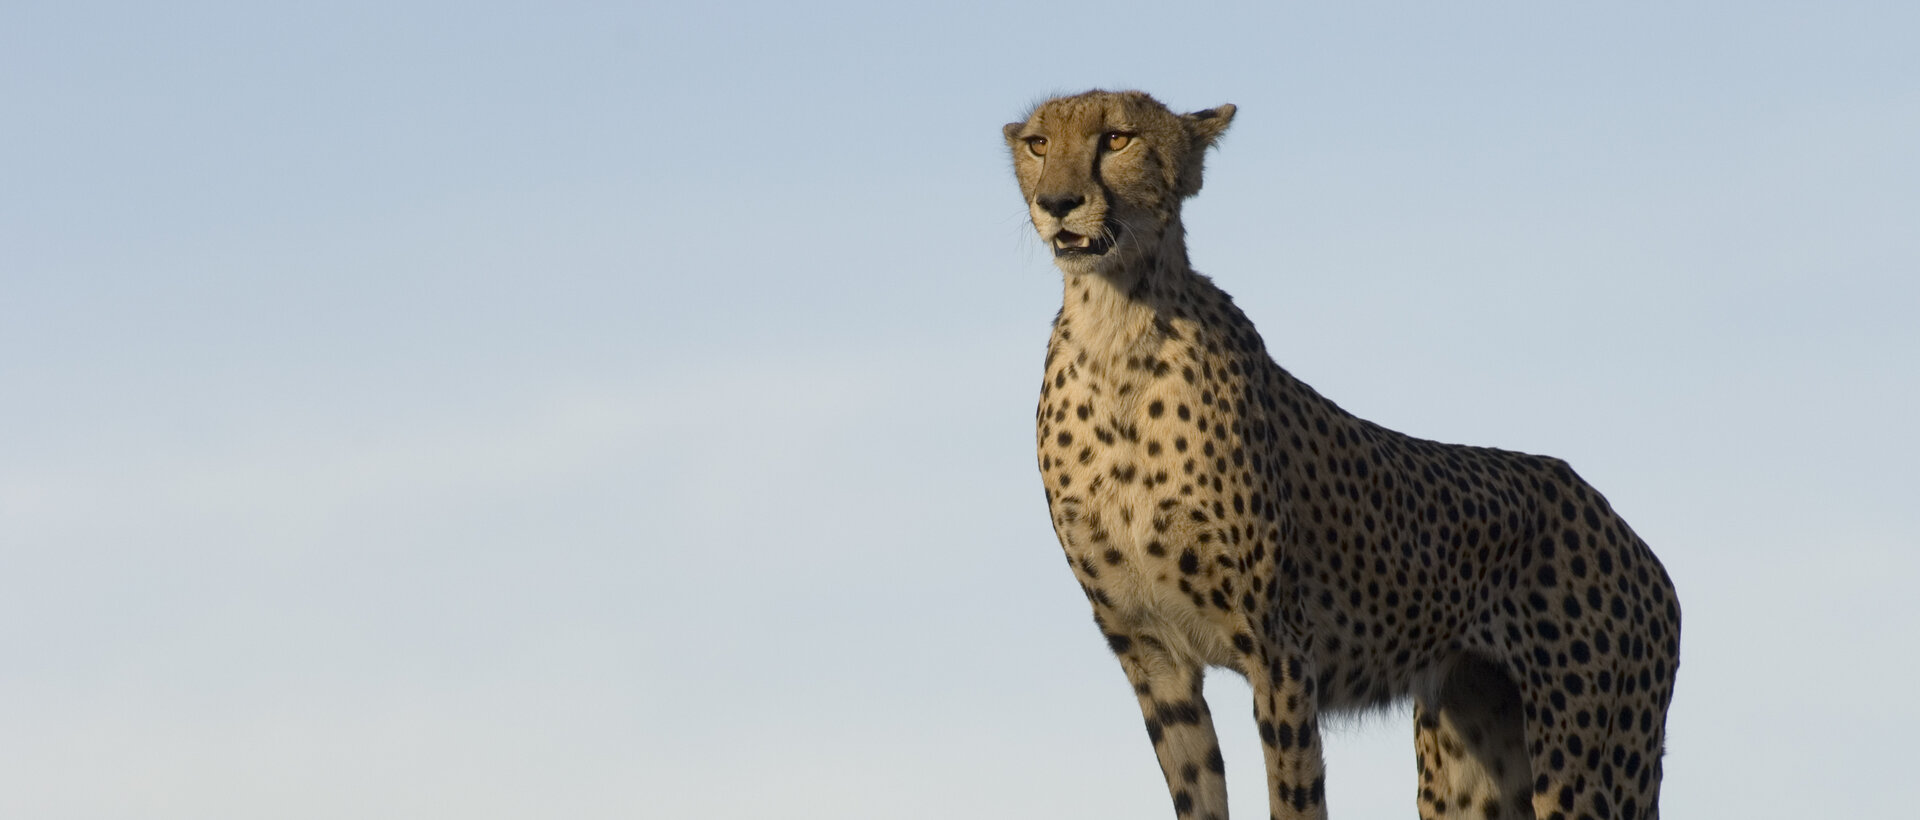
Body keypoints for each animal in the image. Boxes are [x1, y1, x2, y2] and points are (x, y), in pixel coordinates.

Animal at [1004, 89, 1680, 820]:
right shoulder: (1152, 654)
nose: (1057, 202)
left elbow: (1295, 794)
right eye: (1039, 143)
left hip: (1588, 765)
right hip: (1467, 757)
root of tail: (1623, 529)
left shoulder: (1280, 647)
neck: (1116, 330)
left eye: (1117, 138)